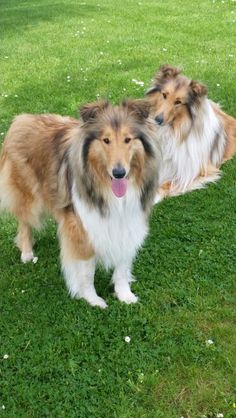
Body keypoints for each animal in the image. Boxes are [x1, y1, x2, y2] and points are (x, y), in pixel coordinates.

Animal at [0, 98, 160, 306]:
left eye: (128, 139)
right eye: (106, 140)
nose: (119, 173)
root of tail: (21, 119)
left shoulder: (128, 220)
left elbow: (122, 264)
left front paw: (124, 294)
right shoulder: (81, 227)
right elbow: (86, 271)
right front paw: (92, 299)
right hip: (30, 198)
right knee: (24, 223)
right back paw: (27, 253)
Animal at [146, 64, 236, 202]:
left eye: (178, 102)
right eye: (164, 95)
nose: (157, 120)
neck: (172, 131)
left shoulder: (195, 171)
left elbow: (167, 184)